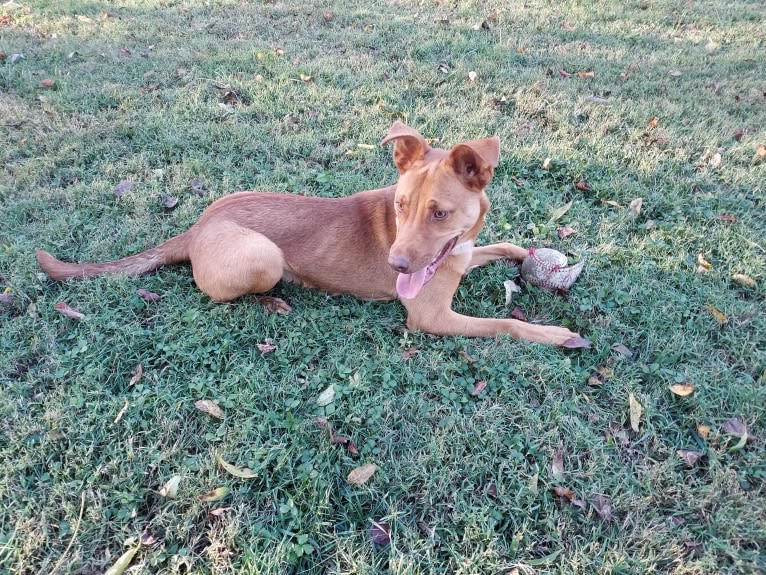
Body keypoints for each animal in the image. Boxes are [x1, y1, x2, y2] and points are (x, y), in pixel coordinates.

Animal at [36, 122, 584, 346]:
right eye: (400, 207)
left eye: (440, 214)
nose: (397, 266)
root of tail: (195, 228)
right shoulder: (430, 317)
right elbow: (506, 324)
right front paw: (554, 334)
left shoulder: (461, 252)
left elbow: (499, 245)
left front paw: (527, 252)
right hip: (264, 256)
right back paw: (274, 301)